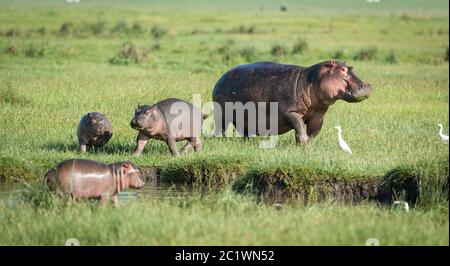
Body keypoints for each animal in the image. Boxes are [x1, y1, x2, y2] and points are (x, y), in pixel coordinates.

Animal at [213, 60, 370, 143]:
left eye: (352, 68)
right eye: (342, 69)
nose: (366, 86)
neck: (311, 80)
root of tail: (221, 77)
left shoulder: (318, 115)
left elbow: (314, 130)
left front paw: (308, 144)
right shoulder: (289, 113)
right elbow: (299, 123)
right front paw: (303, 142)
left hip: (244, 118)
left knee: (245, 131)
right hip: (221, 114)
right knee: (221, 127)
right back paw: (221, 140)